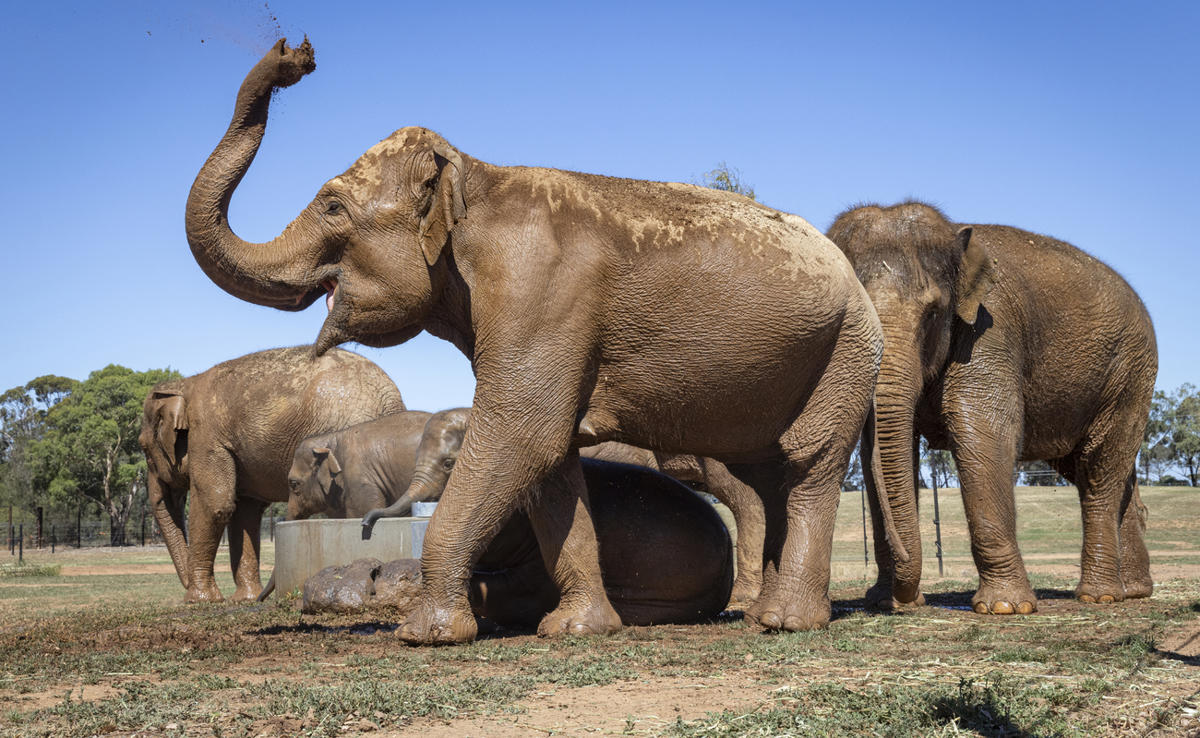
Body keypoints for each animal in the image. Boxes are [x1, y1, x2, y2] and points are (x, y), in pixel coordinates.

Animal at [138, 346, 405, 602]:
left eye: (143, 447)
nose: (186, 587)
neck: (185, 383)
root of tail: (391, 398)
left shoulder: (207, 438)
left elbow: (215, 505)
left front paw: (198, 600)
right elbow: (245, 512)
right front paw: (244, 599)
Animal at [185, 39, 903, 642]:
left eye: (333, 206)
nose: (293, 57)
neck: (474, 175)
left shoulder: (538, 292)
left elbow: (522, 434)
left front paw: (426, 634)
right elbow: (552, 458)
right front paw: (576, 629)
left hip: (845, 350)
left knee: (808, 463)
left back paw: (786, 623)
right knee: (770, 474)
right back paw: (763, 613)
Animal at [827, 201, 1156, 615]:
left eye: (933, 312)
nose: (904, 600)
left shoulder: (989, 327)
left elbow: (983, 428)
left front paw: (1004, 608)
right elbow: (878, 450)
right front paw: (885, 600)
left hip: (1130, 374)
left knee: (1100, 468)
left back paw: (1100, 595)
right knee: (1099, 469)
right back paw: (1136, 591)